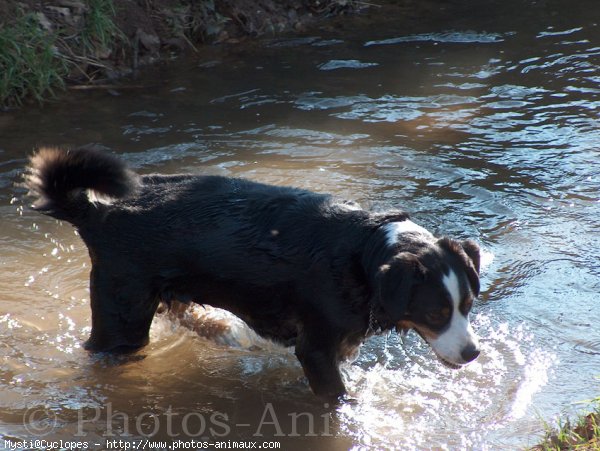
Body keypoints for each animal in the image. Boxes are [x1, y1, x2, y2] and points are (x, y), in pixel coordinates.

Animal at [24, 147, 482, 400]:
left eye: (468, 305)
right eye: (436, 313)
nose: (472, 353)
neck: (365, 253)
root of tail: (97, 211)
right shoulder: (316, 348)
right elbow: (335, 397)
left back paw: (221, 329)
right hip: (123, 312)